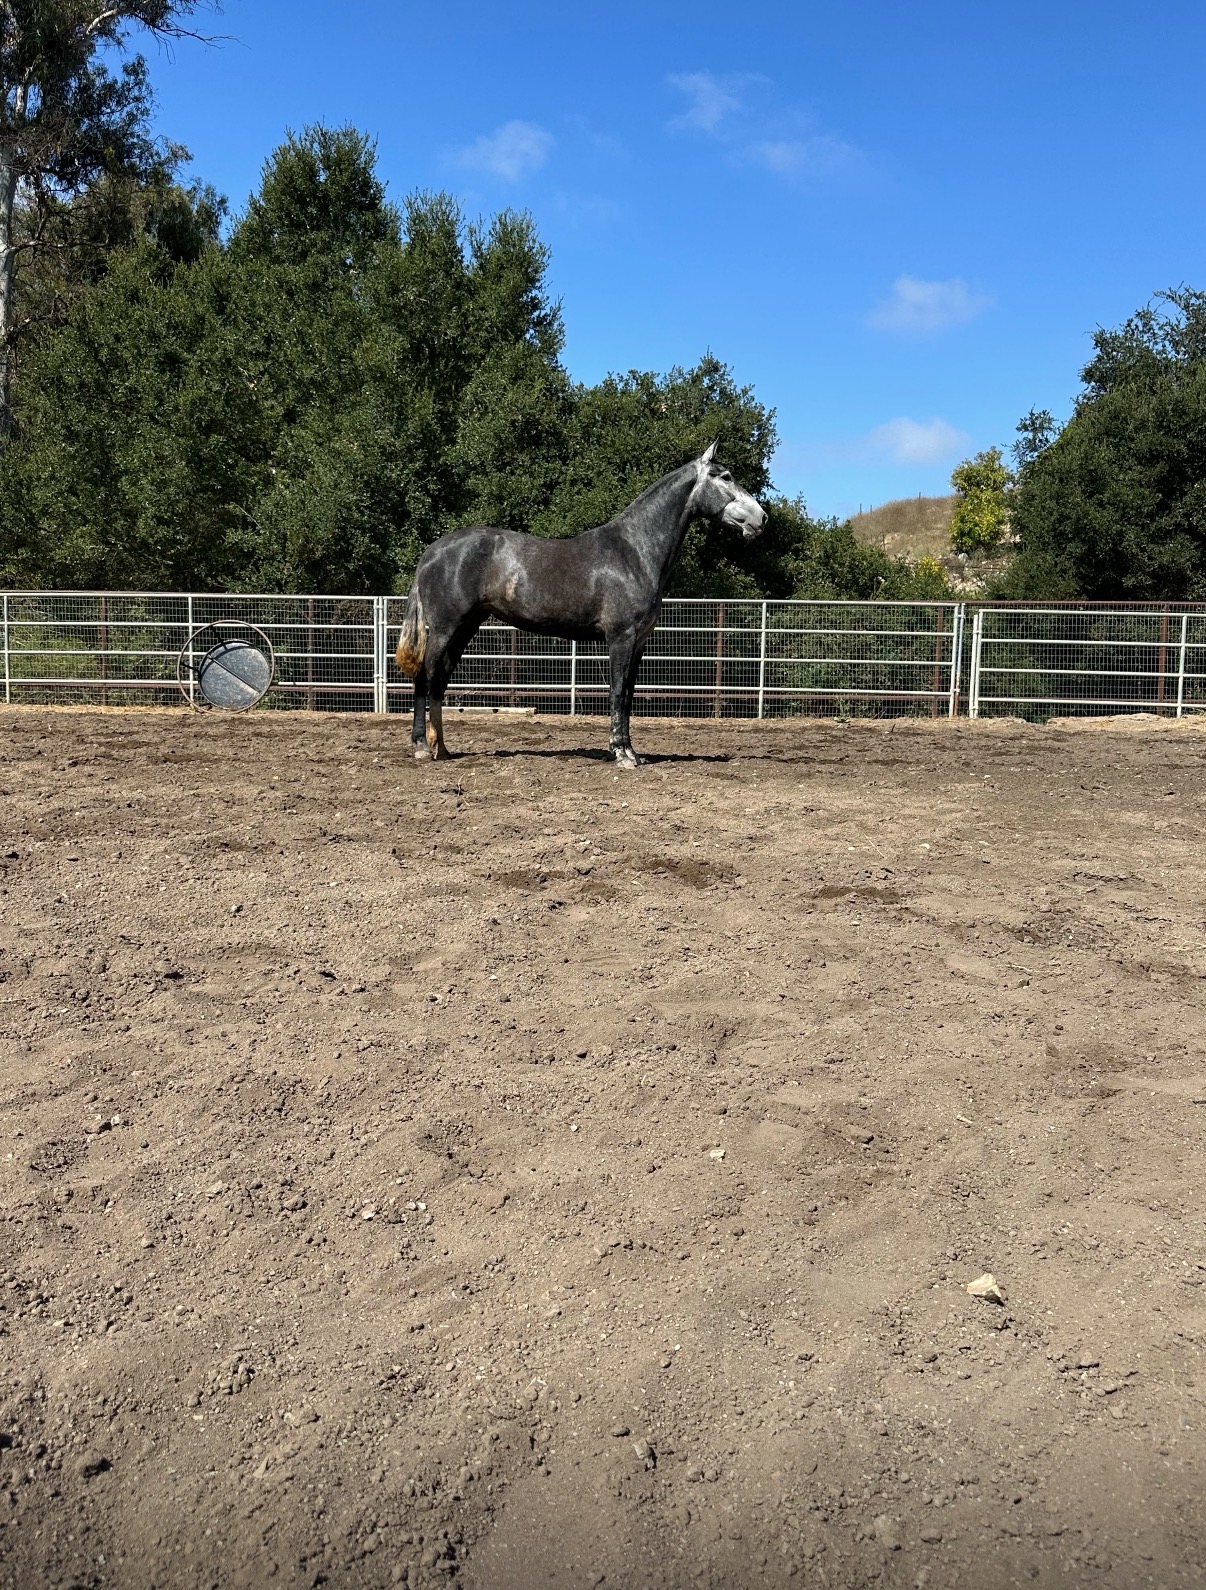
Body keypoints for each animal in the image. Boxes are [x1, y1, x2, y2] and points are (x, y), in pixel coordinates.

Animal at [394, 443, 767, 767]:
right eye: (725, 477)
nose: (761, 518)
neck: (634, 551)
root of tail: (433, 552)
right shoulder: (621, 638)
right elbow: (617, 693)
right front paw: (623, 755)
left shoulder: (640, 643)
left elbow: (629, 694)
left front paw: (631, 752)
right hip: (444, 628)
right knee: (424, 677)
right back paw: (422, 748)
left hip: (466, 627)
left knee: (440, 681)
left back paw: (442, 749)